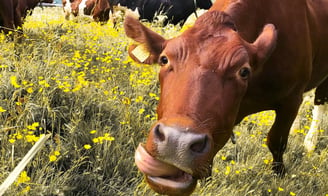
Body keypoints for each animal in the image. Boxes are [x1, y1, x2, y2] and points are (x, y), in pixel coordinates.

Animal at [124, 0, 328, 195]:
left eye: (244, 71)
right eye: (164, 59)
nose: (177, 142)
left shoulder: (290, 100)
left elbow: (276, 141)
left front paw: (280, 175)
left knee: (319, 102)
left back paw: (310, 141)